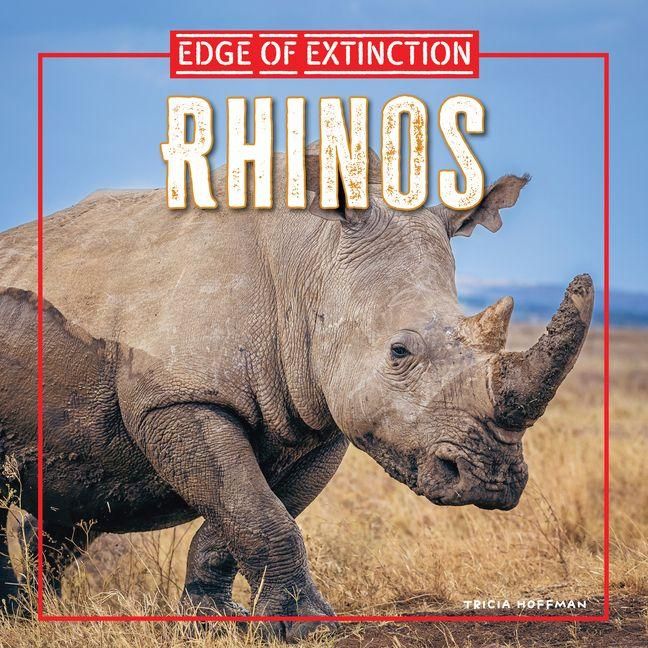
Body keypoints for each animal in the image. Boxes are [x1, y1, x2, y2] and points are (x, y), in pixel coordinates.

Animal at [0, 147, 593, 640]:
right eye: (399, 351)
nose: (491, 481)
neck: (309, 264)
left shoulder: (321, 420)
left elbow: (247, 516)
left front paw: (212, 622)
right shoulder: (177, 397)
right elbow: (255, 510)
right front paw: (308, 626)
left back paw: (37, 613)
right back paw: (16, 617)